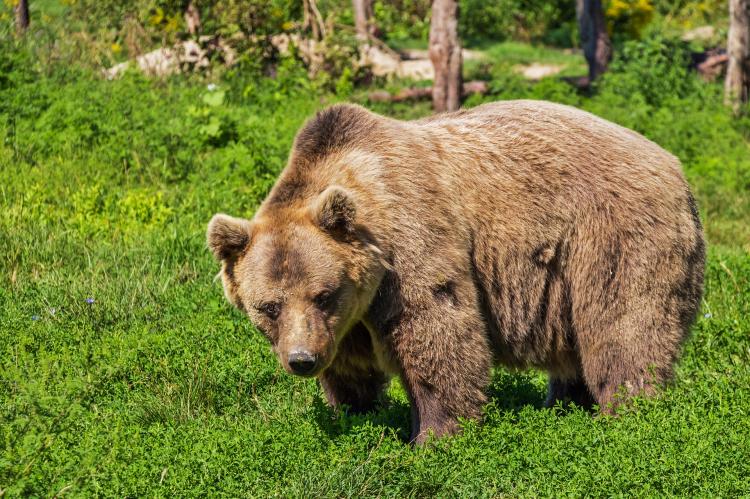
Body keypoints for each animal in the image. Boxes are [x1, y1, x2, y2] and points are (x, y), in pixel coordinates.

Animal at [206, 99, 704, 444]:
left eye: (323, 294)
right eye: (268, 306)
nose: (302, 360)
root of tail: (675, 165)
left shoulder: (410, 245)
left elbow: (438, 332)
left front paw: (433, 435)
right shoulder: (347, 319)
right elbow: (350, 366)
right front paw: (355, 412)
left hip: (612, 235)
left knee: (623, 327)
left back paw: (627, 411)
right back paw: (564, 403)